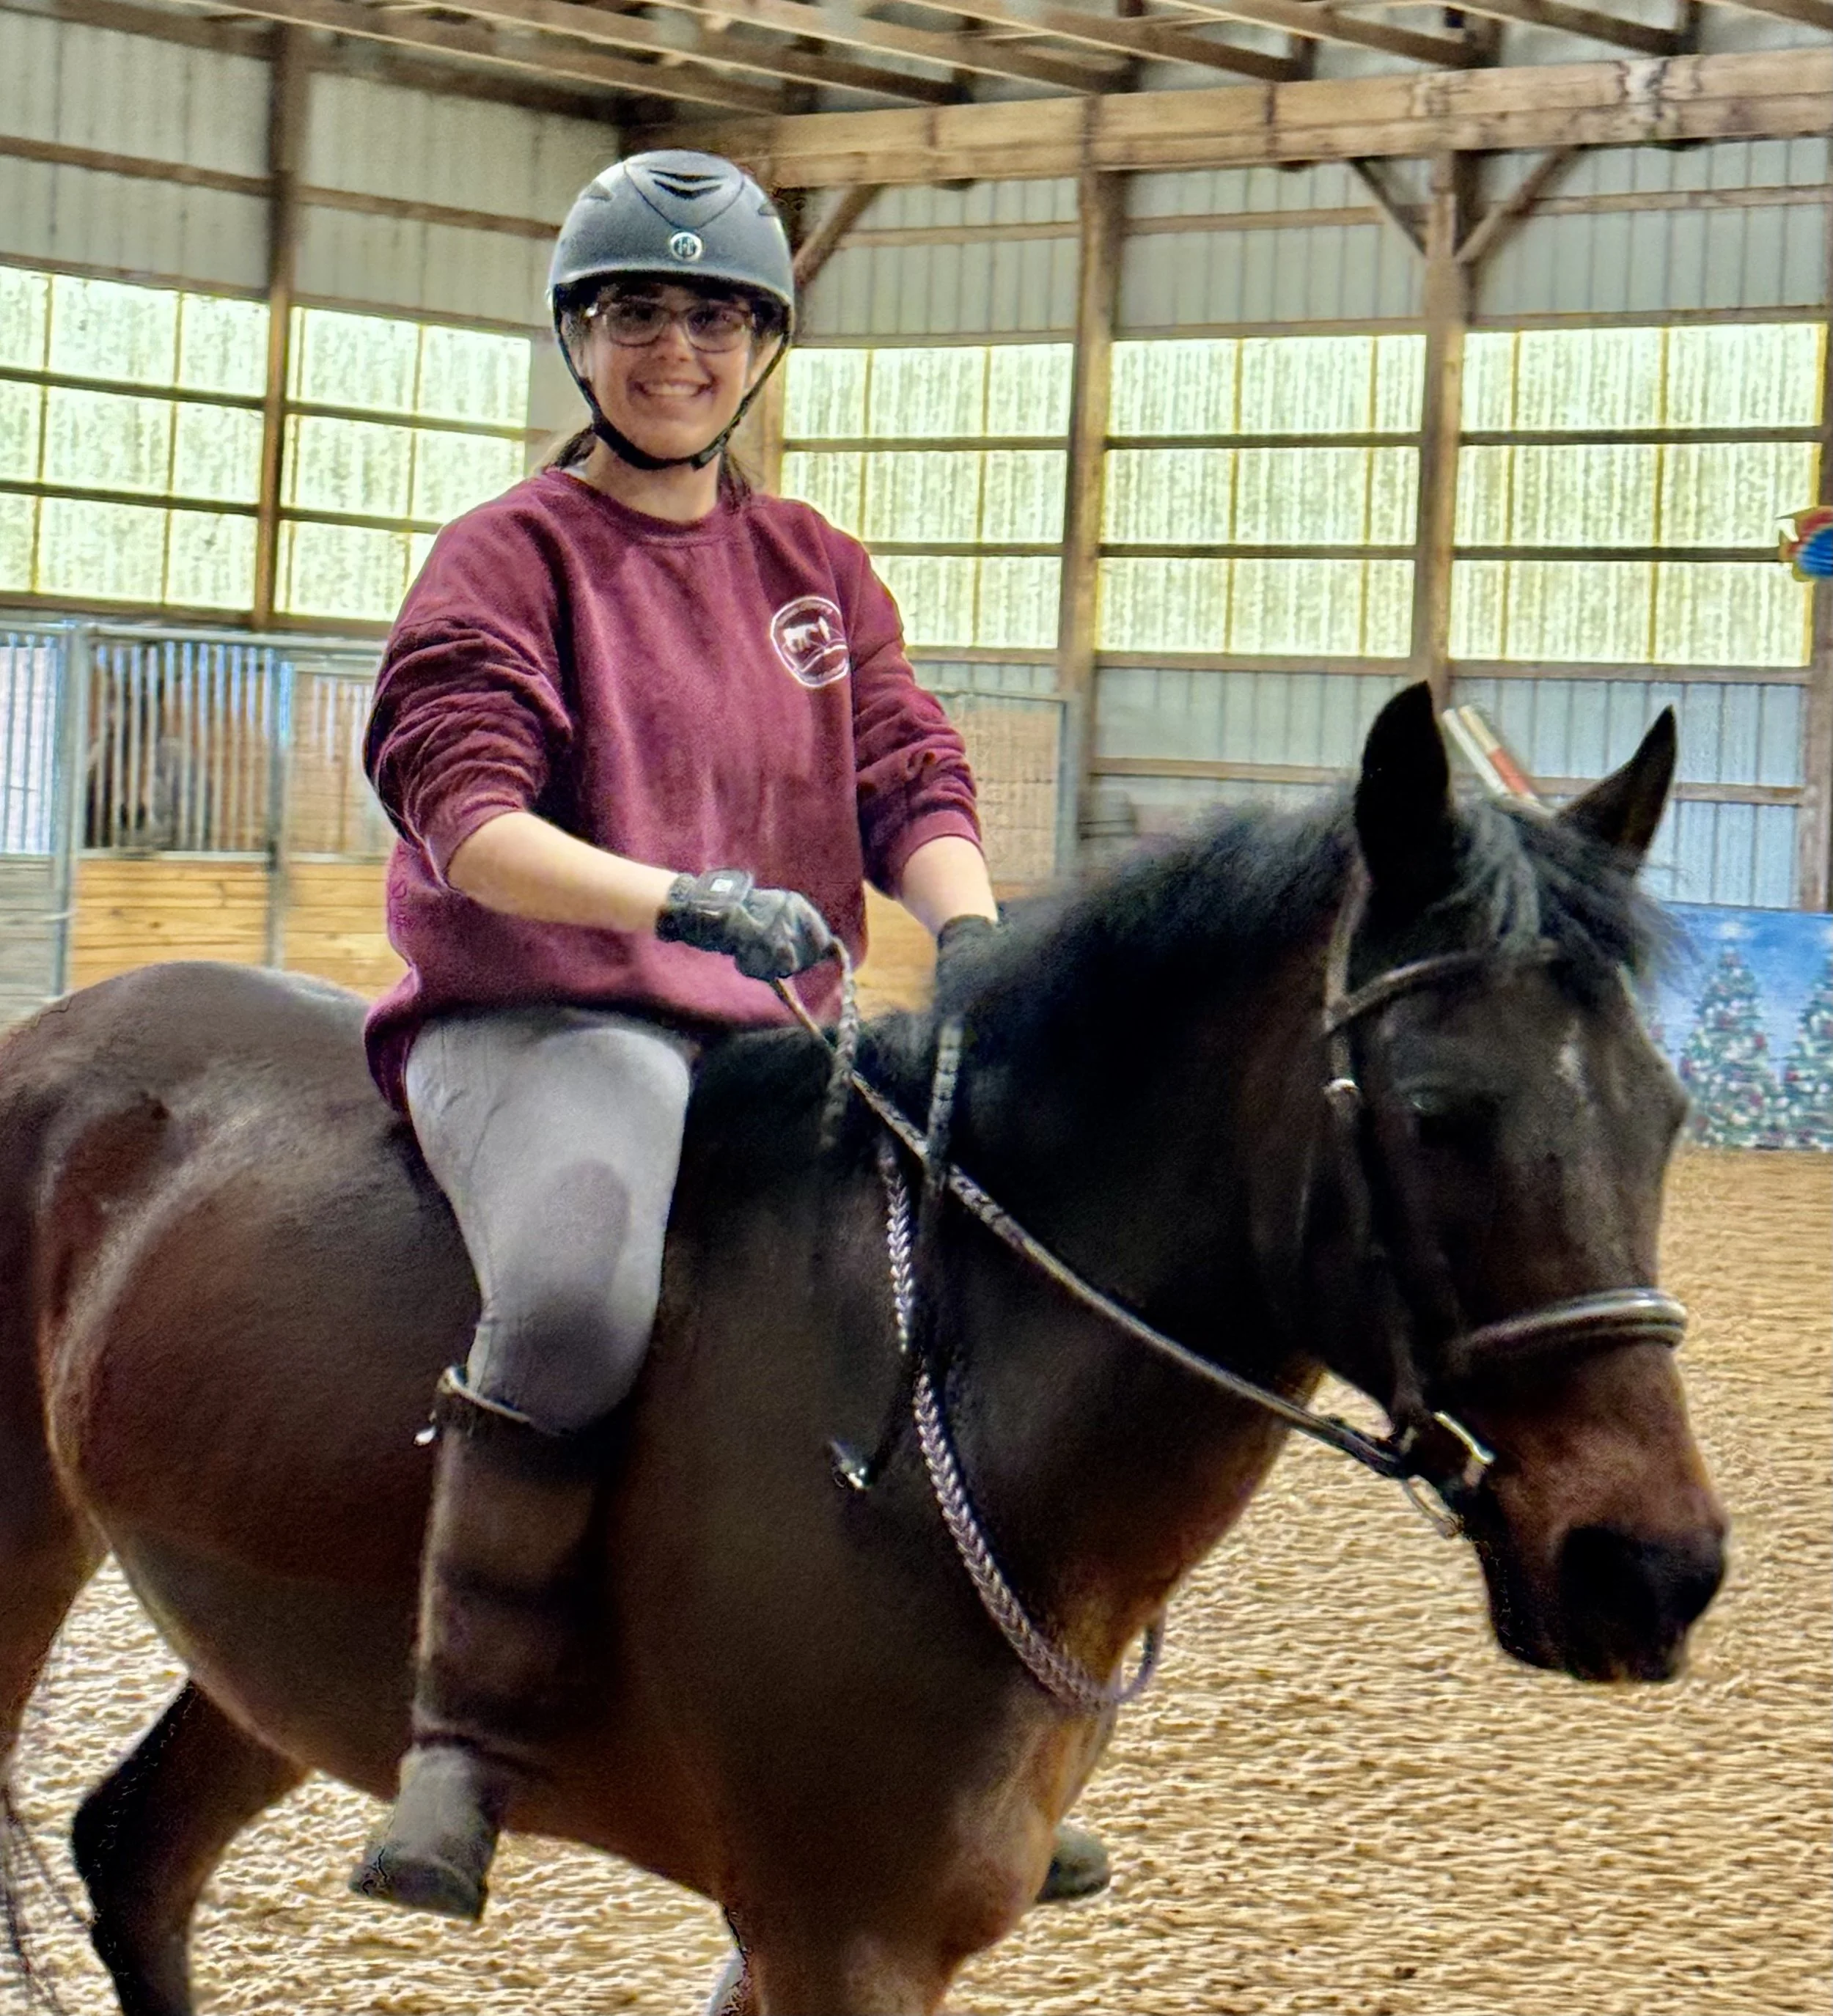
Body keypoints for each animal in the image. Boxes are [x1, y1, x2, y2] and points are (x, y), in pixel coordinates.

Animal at [0, 683, 1725, 2016]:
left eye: (1667, 1112)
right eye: (1434, 1111)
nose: (1652, 1568)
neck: (948, 1400)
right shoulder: (843, 1934)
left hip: (268, 1650)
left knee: (137, 1856)